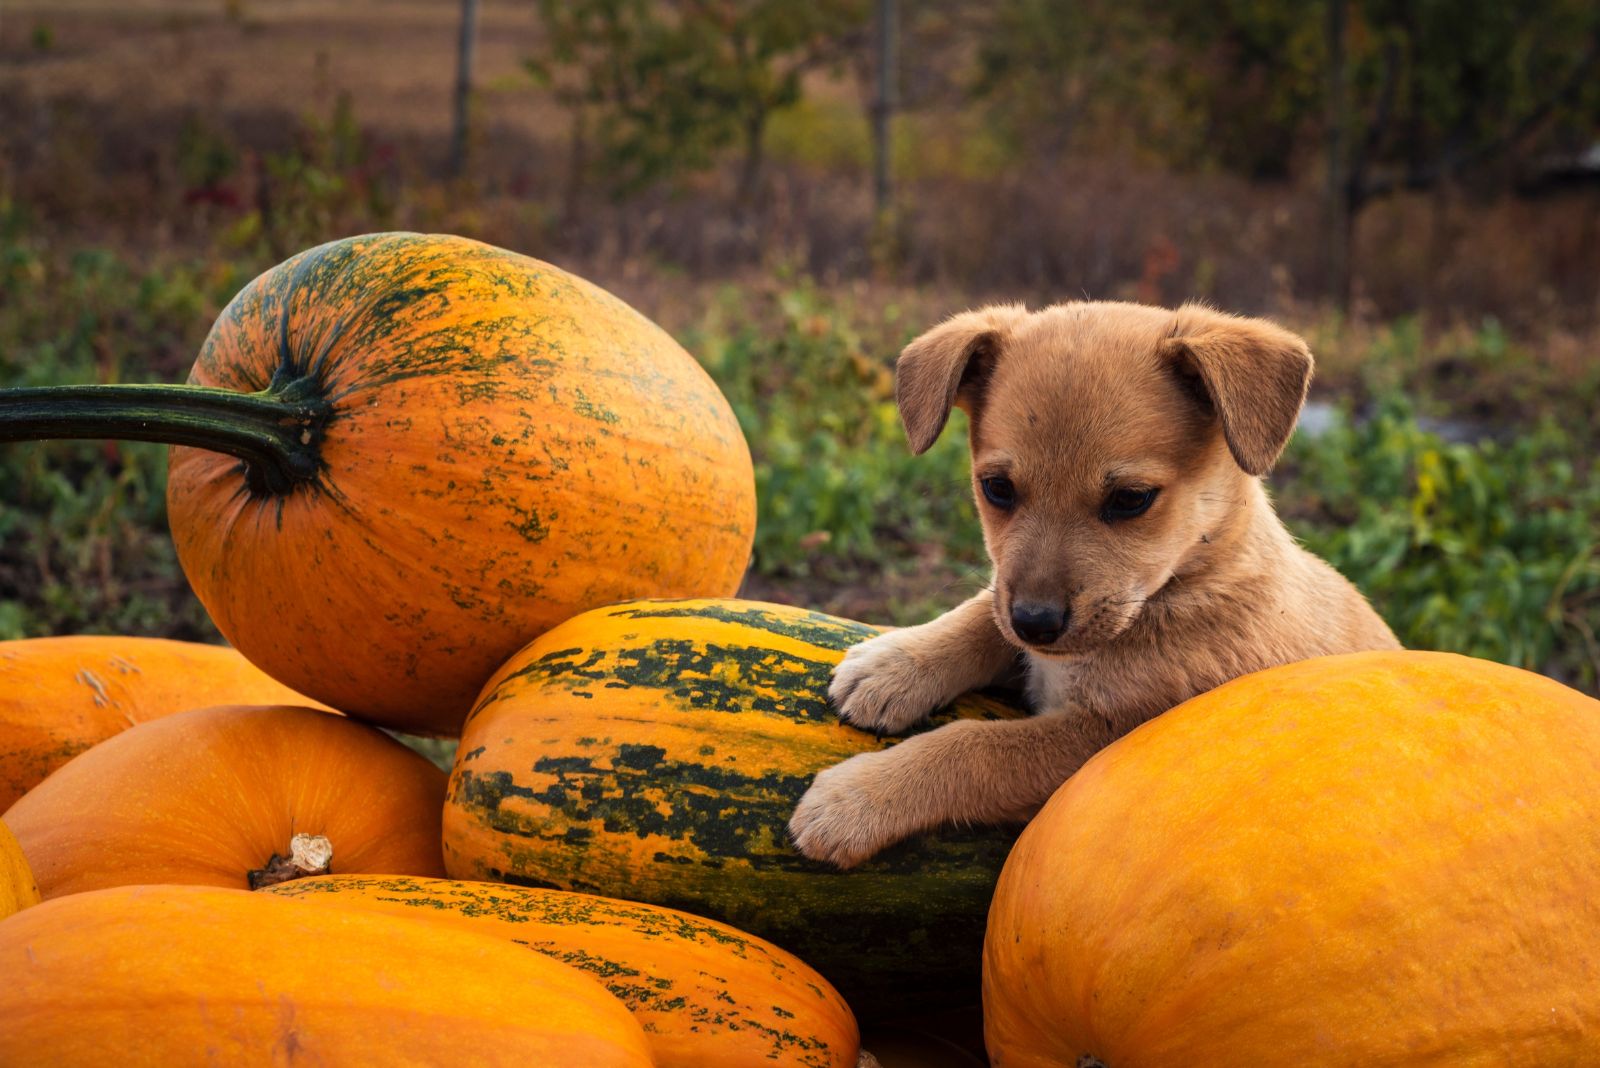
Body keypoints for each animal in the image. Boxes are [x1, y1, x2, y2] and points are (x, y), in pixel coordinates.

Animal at [787, 298, 1401, 869]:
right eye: (996, 488)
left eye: (1130, 499)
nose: (1036, 624)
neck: (1190, 585)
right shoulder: (1016, 615)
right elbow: (984, 613)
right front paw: (894, 664)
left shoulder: (1103, 738)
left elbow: (977, 746)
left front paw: (854, 800)